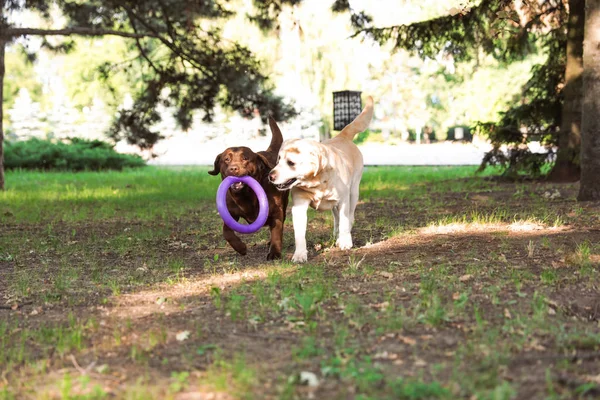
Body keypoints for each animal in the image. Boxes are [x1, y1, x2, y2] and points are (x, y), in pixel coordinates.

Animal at [209, 117, 288, 260]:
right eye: (226, 159)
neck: (246, 196)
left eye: (245, 158)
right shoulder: (231, 214)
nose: (233, 168)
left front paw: (274, 252)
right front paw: (241, 248)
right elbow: (226, 232)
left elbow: (276, 232)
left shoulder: (276, 212)